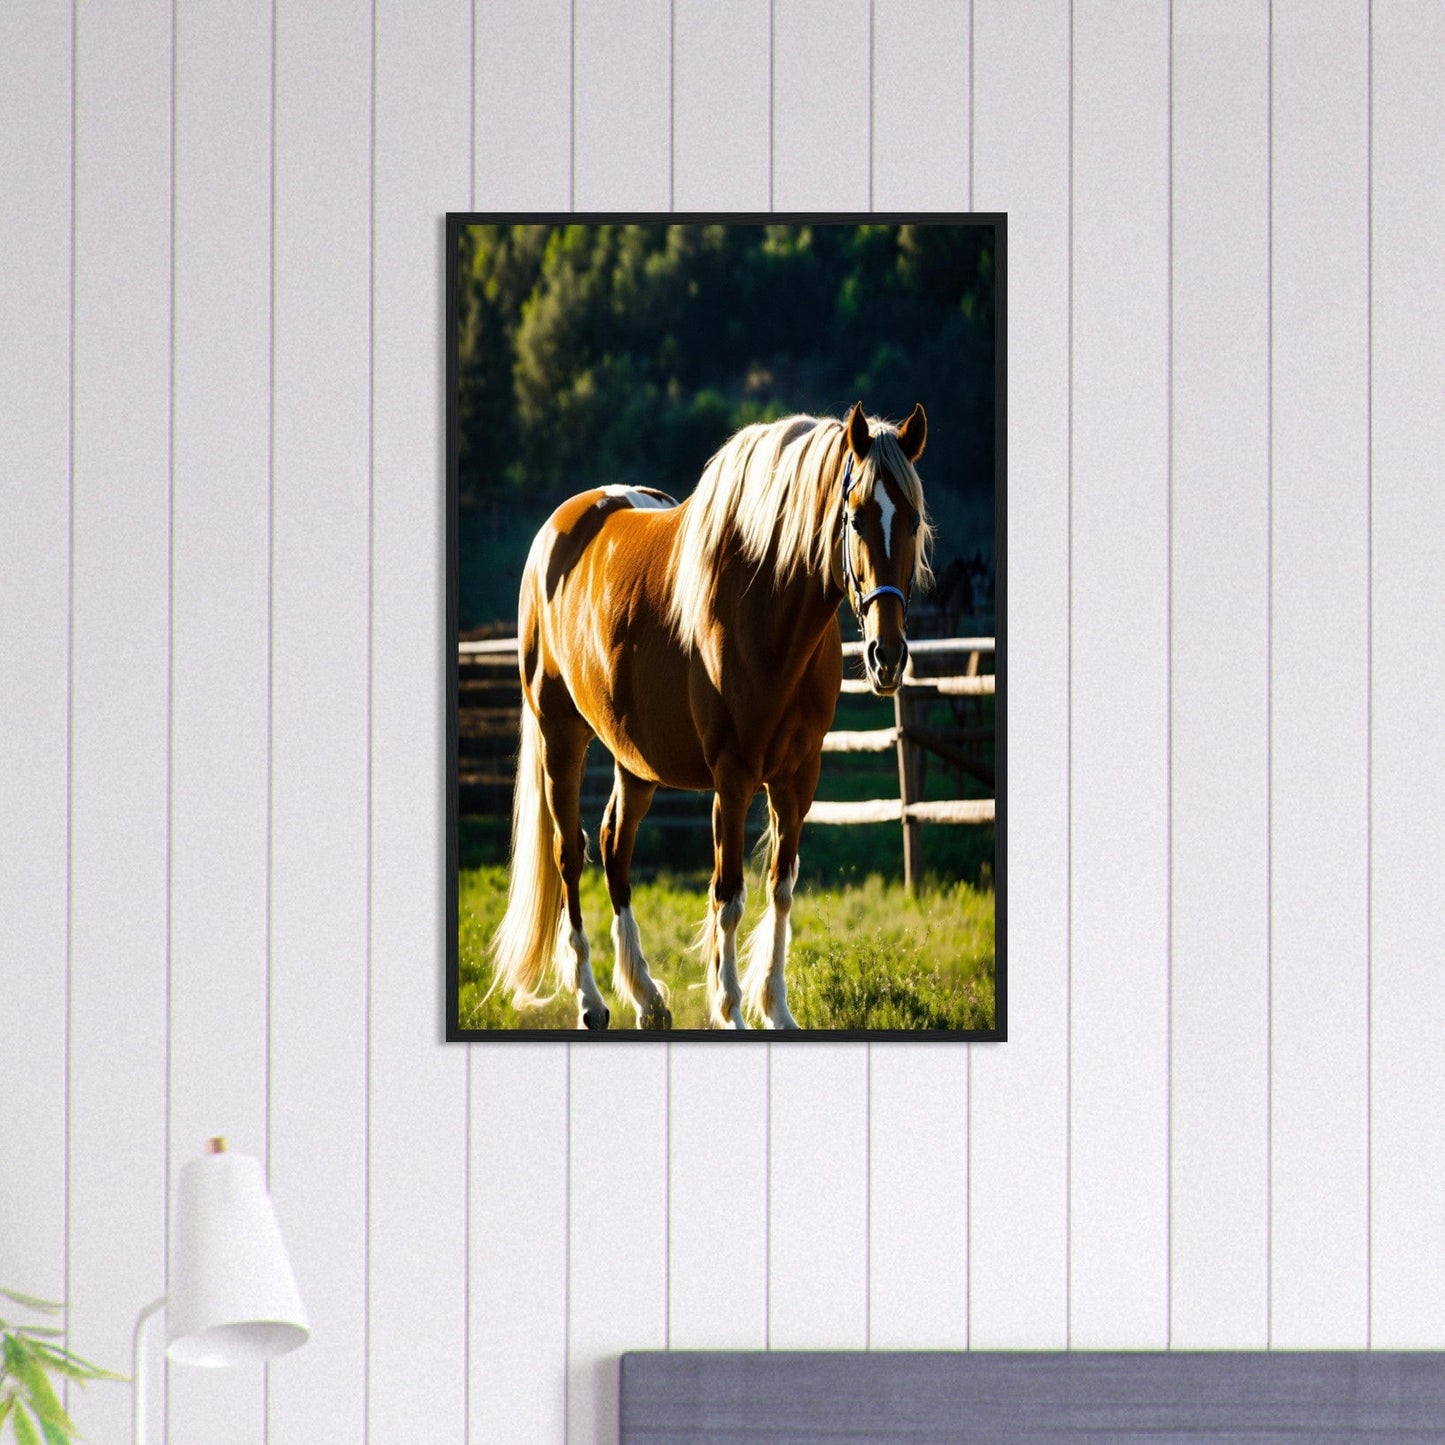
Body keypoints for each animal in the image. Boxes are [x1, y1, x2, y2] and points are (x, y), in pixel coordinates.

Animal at [487, 401, 934, 1029]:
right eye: (854, 517)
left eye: (913, 519)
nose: (886, 656)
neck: (767, 607)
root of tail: (554, 534)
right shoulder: (734, 776)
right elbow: (729, 894)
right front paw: (731, 1009)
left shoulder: (799, 777)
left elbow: (781, 887)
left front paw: (777, 1009)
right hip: (560, 735)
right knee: (570, 852)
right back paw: (592, 1001)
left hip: (635, 759)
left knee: (614, 845)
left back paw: (647, 997)